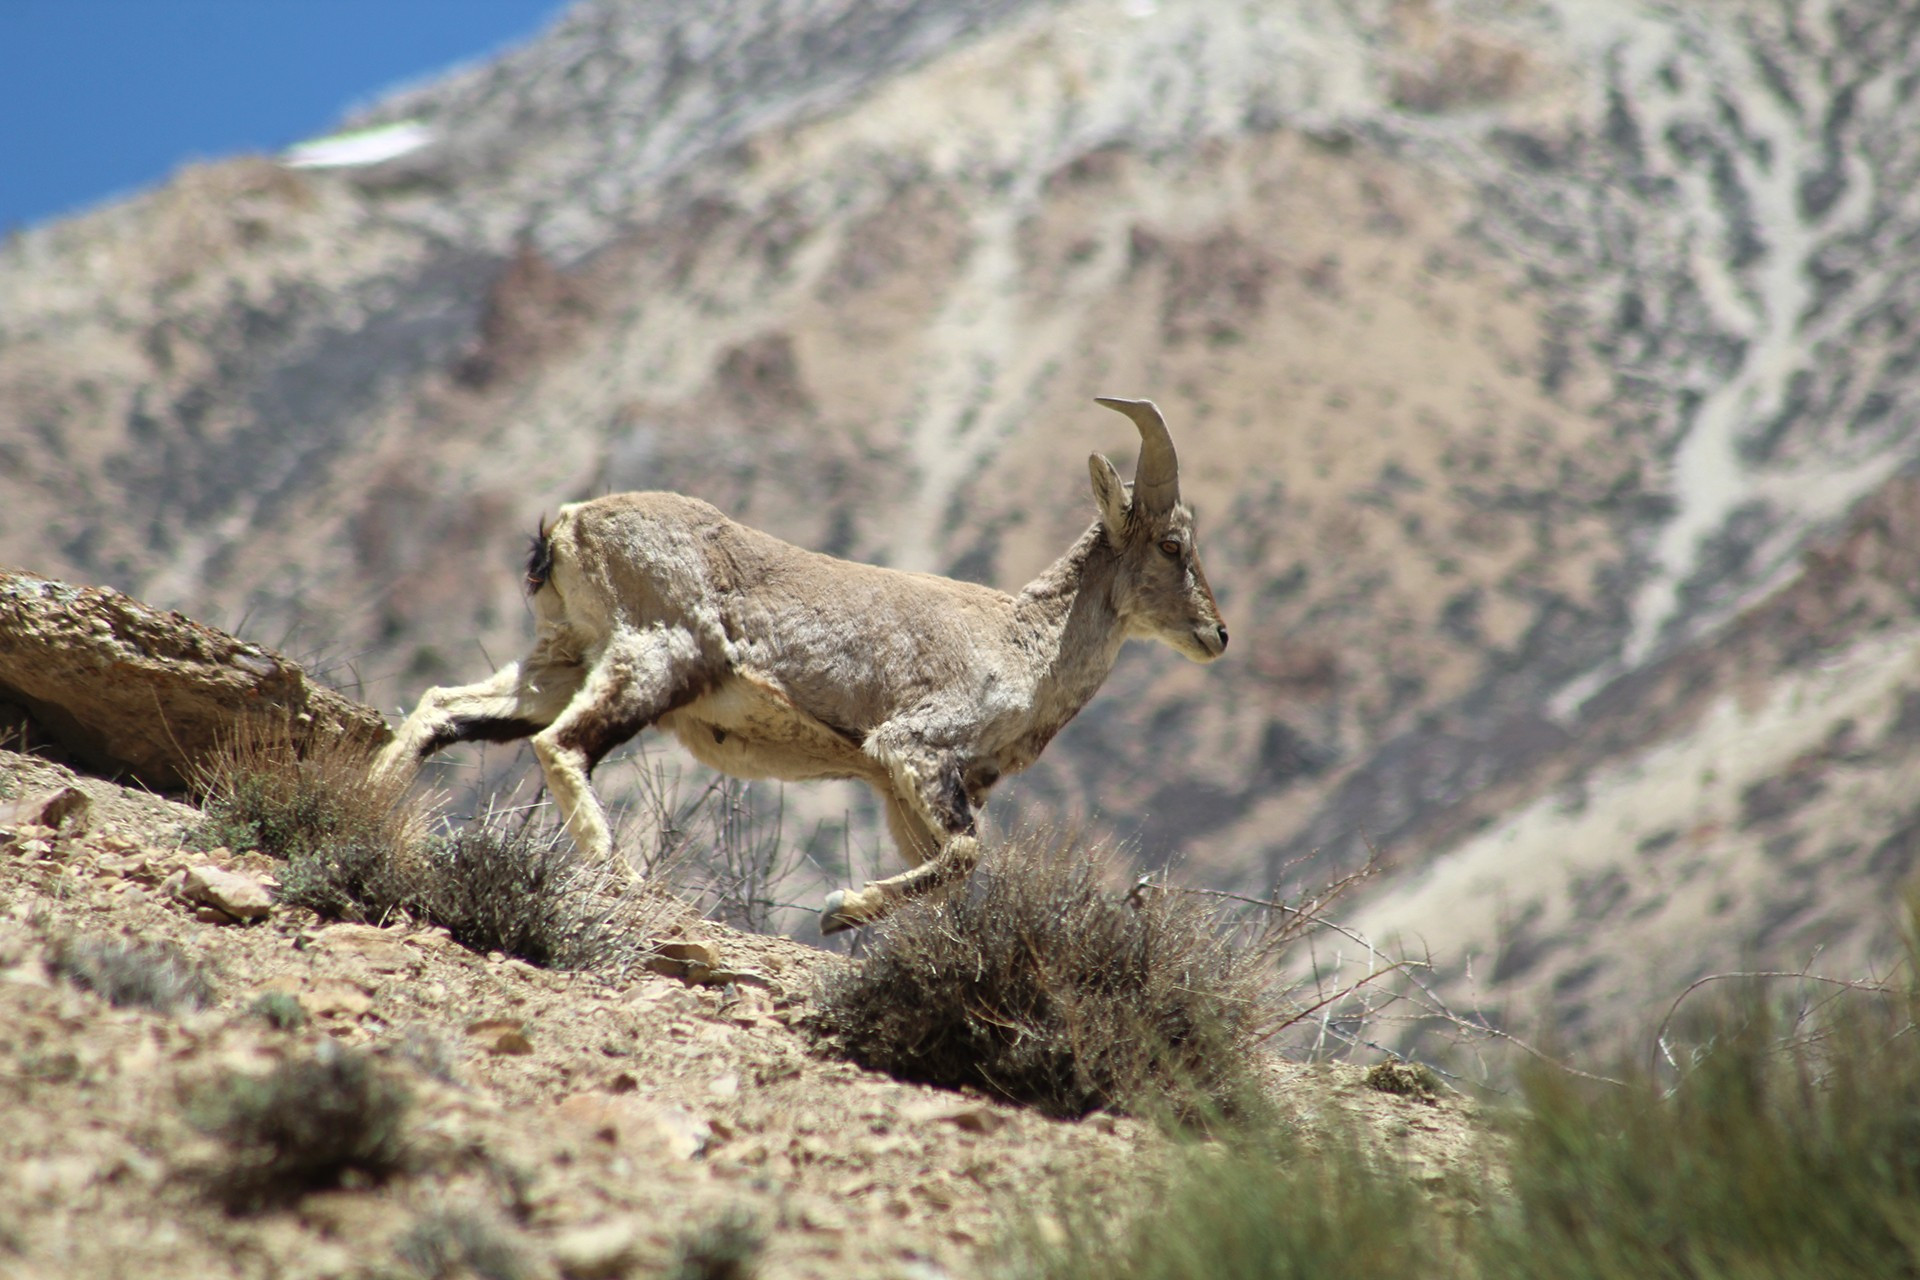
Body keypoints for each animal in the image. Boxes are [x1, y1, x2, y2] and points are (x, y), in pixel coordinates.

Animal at [373, 397, 1228, 932]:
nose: (1218, 634)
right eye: (1172, 545)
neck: (1025, 646)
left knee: (446, 706)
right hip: (656, 655)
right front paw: (838, 908)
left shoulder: (902, 791)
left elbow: (953, 880)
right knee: (563, 744)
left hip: (560, 660)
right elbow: (965, 854)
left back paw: (371, 804)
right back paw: (623, 876)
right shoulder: (914, 750)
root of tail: (569, 525)